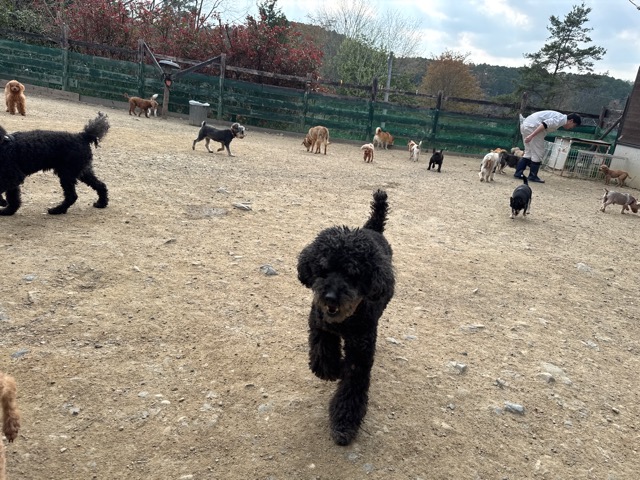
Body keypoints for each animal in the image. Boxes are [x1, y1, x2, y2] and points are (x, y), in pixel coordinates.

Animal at [297, 189, 395, 446]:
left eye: (352, 274)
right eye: (323, 269)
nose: (331, 297)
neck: (345, 322)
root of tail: (372, 228)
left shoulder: (361, 349)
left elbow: (352, 386)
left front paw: (344, 424)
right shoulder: (319, 324)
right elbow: (322, 356)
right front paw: (333, 370)